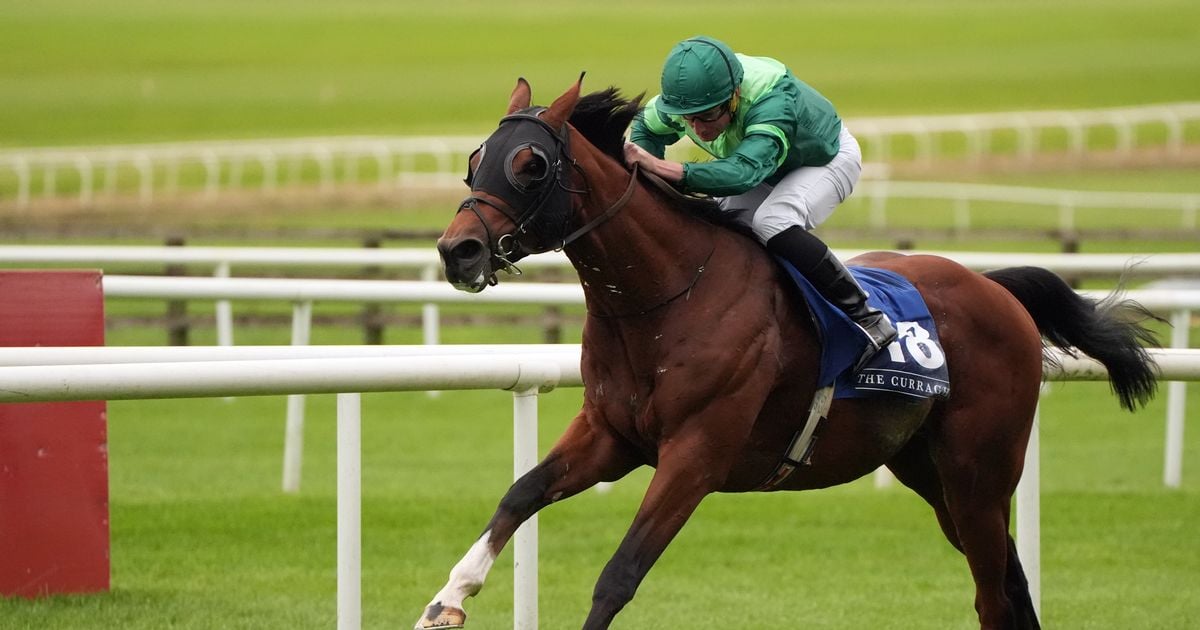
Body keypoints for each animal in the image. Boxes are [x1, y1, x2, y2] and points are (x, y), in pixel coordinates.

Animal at [415, 78, 1161, 628]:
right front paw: (448, 598)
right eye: (475, 160)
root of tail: (994, 286)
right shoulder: (612, 435)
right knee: (1008, 583)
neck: (663, 299)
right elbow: (520, 493)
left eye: (531, 164)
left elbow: (618, 575)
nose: (459, 251)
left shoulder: (698, 452)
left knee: (993, 595)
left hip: (981, 472)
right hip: (928, 471)